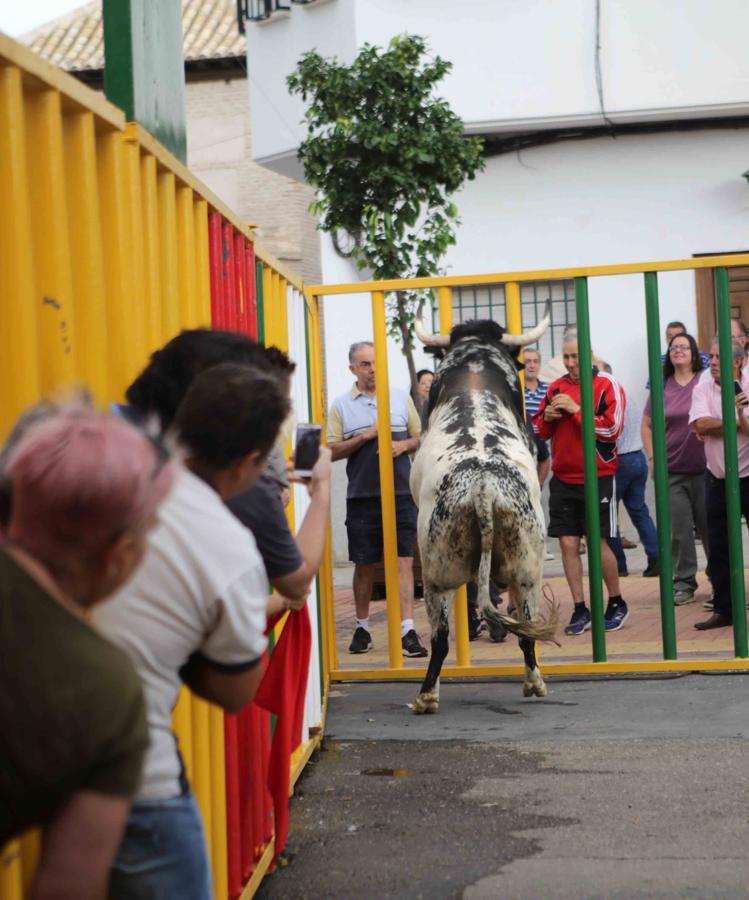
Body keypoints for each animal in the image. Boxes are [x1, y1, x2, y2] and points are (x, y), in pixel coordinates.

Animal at [410, 312, 556, 712]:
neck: (475, 363)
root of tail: (483, 486)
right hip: (525, 568)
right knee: (524, 629)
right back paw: (533, 683)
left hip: (439, 572)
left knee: (443, 636)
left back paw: (428, 696)